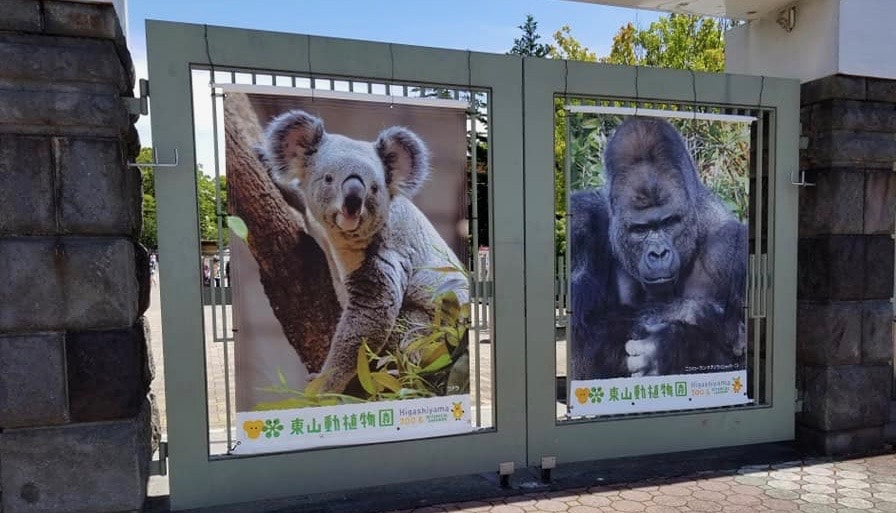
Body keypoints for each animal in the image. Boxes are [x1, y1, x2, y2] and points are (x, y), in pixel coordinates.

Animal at [568, 117, 748, 380]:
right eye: (640, 229)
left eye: (669, 222)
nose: (659, 254)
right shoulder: (579, 223)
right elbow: (580, 325)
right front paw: (697, 315)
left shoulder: (732, 247)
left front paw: (671, 346)